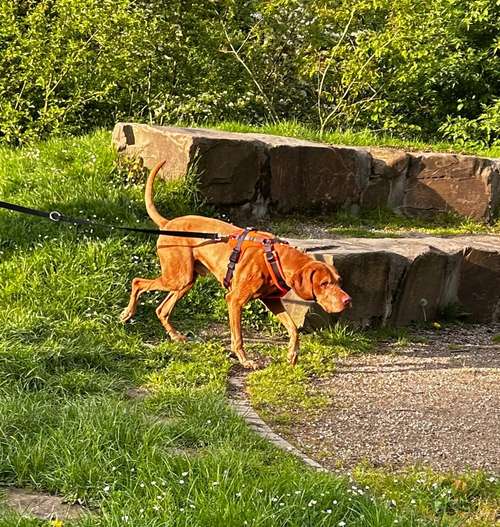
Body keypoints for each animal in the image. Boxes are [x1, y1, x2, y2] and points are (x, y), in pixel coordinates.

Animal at [120, 161, 352, 368]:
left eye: (339, 281)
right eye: (324, 284)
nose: (348, 300)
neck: (275, 258)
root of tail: (168, 223)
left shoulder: (272, 301)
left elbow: (294, 328)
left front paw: (292, 355)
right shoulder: (235, 300)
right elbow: (238, 337)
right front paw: (245, 360)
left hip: (186, 281)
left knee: (162, 309)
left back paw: (176, 336)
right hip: (177, 277)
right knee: (137, 281)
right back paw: (127, 314)